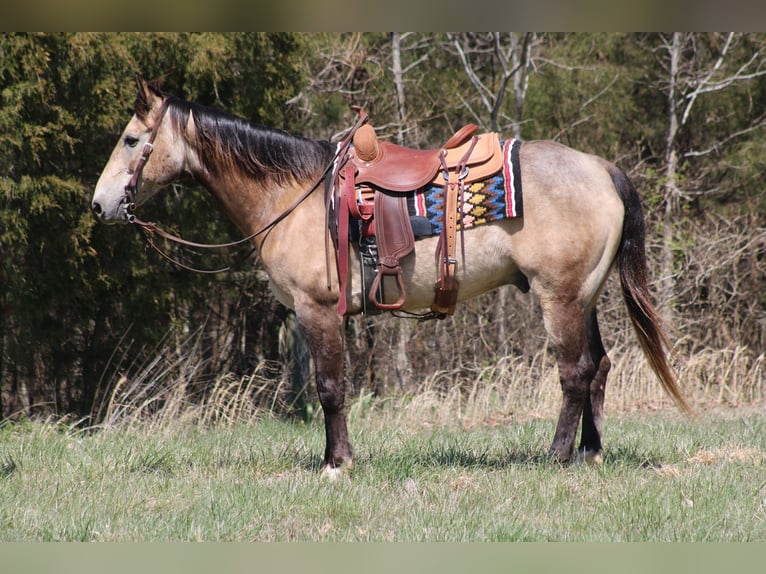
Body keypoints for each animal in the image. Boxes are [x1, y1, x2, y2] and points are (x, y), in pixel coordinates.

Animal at [93, 77, 692, 482]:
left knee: (575, 372)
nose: (99, 204)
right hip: (584, 296)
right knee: (599, 367)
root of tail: (601, 169)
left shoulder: (316, 310)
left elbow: (330, 388)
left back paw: (557, 455)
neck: (296, 194)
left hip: (560, 296)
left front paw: (336, 463)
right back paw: (590, 451)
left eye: (131, 140)